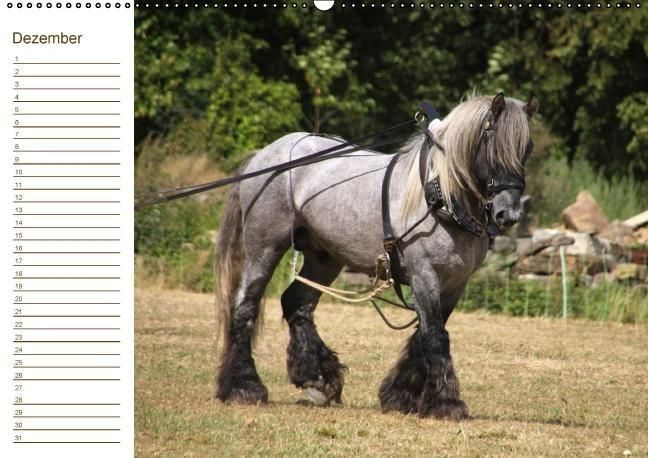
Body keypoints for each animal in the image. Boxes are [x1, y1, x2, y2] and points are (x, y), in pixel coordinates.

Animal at [213, 94, 538, 419]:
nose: (509, 214)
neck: (440, 197)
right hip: (264, 248)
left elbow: (424, 334)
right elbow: (435, 335)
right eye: (492, 142)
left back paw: (316, 378)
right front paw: (446, 403)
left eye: (527, 147)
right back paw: (244, 386)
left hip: (324, 257)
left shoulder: (455, 283)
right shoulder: (425, 275)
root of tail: (264, 155)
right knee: (245, 306)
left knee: (297, 303)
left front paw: (400, 395)